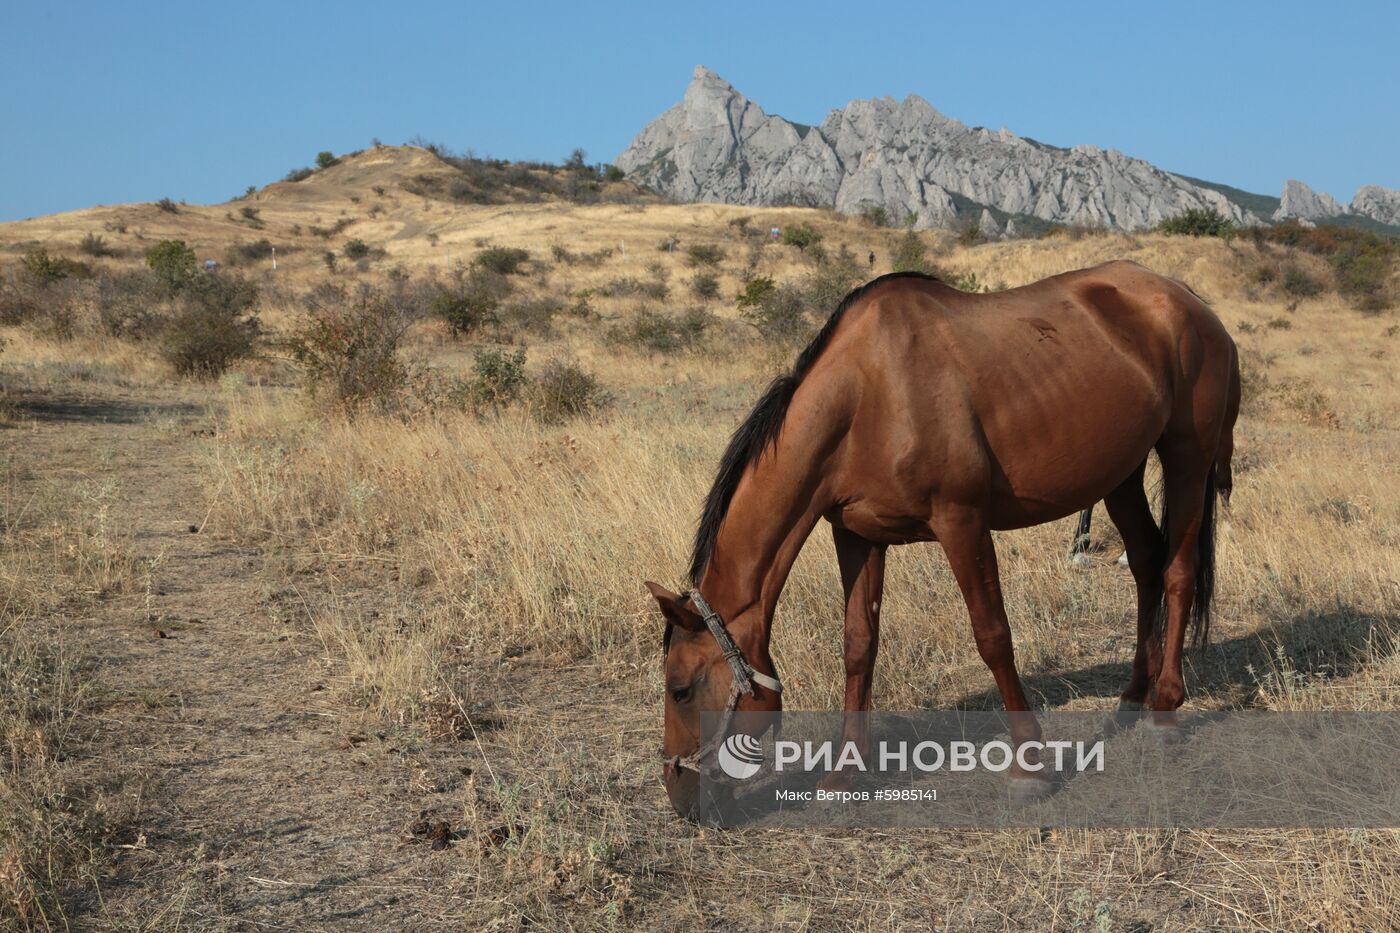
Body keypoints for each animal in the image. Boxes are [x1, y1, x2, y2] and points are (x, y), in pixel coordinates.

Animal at [644, 261, 1237, 812]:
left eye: (680, 689)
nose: (680, 797)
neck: (867, 395)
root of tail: (1189, 301)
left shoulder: (962, 523)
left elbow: (993, 636)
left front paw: (1031, 766)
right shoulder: (856, 536)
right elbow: (858, 646)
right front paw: (842, 775)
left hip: (1186, 456)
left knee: (1178, 570)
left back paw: (1165, 708)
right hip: (1121, 475)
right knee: (1146, 563)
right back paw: (1132, 698)